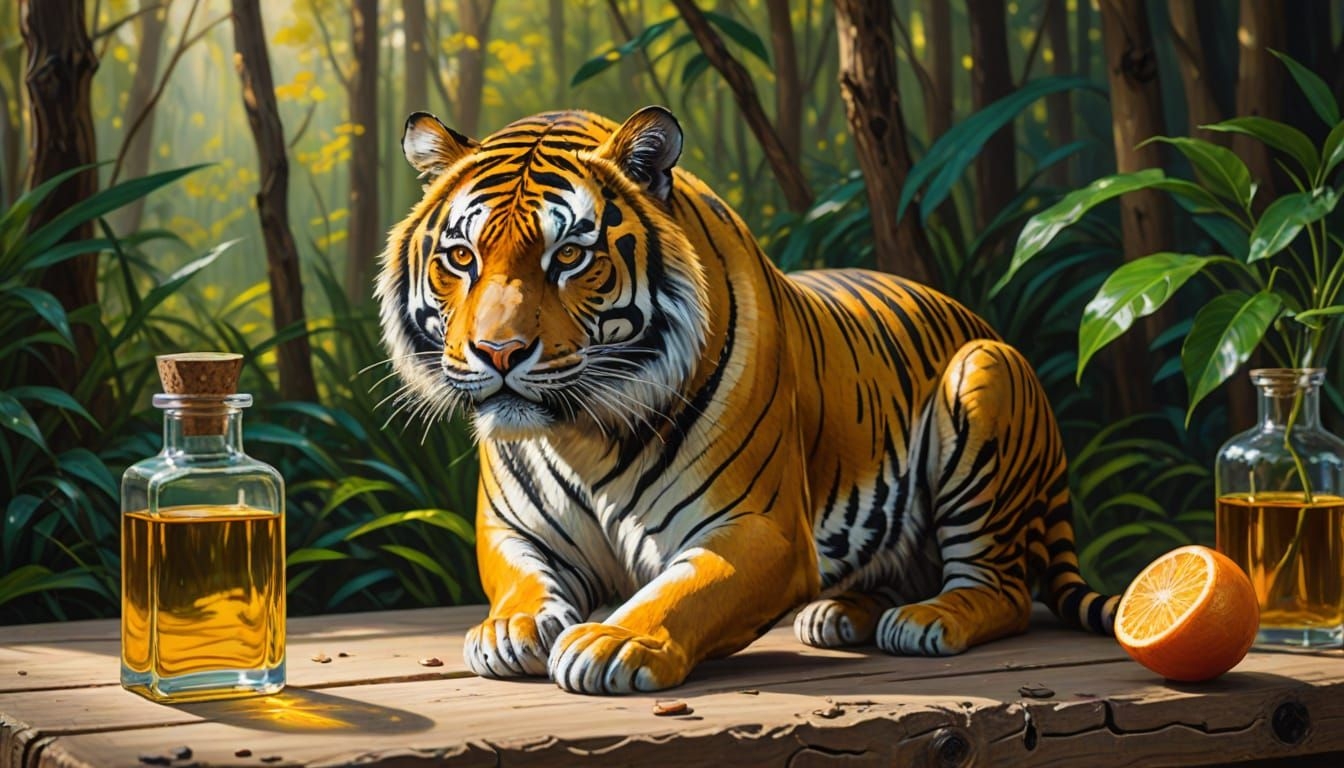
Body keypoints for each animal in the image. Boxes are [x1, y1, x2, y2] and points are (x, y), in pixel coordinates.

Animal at [375, 106, 1118, 695]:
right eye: (463, 257)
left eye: (568, 257)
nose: (498, 354)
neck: (583, 433)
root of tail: (982, 321)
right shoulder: (513, 530)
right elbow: (523, 580)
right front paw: (516, 625)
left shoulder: (761, 530)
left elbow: (687, 590)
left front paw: (614, 640)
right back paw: (842, 614)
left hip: (984, 378)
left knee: (1004, 589)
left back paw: (928, 618)